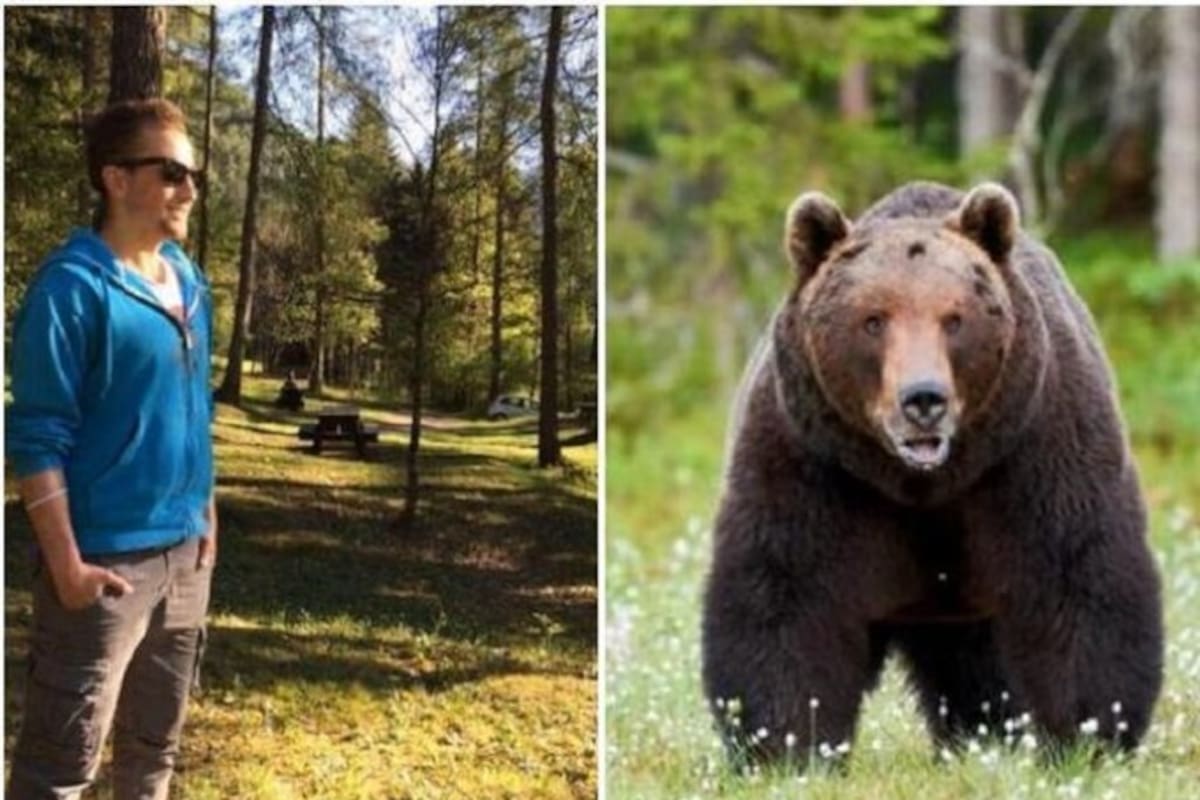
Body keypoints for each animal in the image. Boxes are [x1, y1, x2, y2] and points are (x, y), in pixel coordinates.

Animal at [701, 181, 1164, 768]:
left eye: (955, 318)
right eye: (873, 319)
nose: (923, 399)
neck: (927, 480)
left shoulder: (1036, 447)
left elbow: (1076, 576)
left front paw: (1088, 738)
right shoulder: (812, 462)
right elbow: (788, 594)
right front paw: (785, 747)